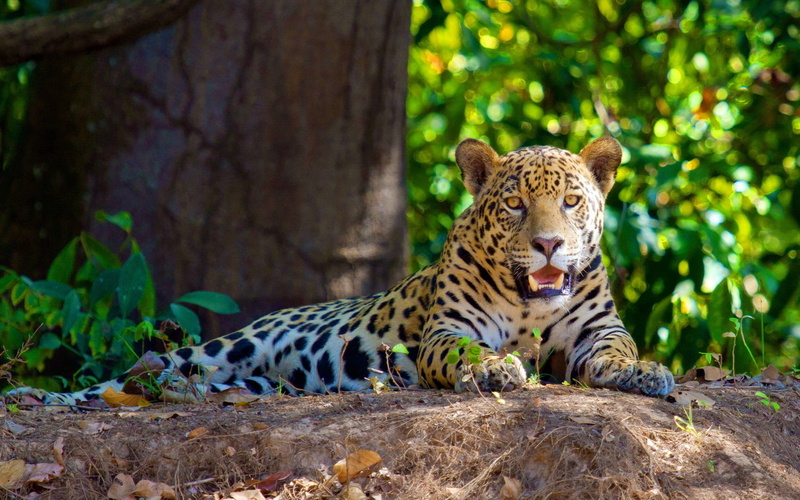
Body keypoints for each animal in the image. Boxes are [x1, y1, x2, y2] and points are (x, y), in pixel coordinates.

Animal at [7, 137, 674, 406]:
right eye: (514, 204)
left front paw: (645, 373)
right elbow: (466, 352)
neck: (531, 302)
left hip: (256, 383)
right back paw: (37, 397)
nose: (548, 244)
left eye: (572, 201)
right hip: (222, 346)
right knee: (119, 381)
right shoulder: (445, 331)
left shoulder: (597, 329)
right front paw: (494, 369)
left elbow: (617, 350)